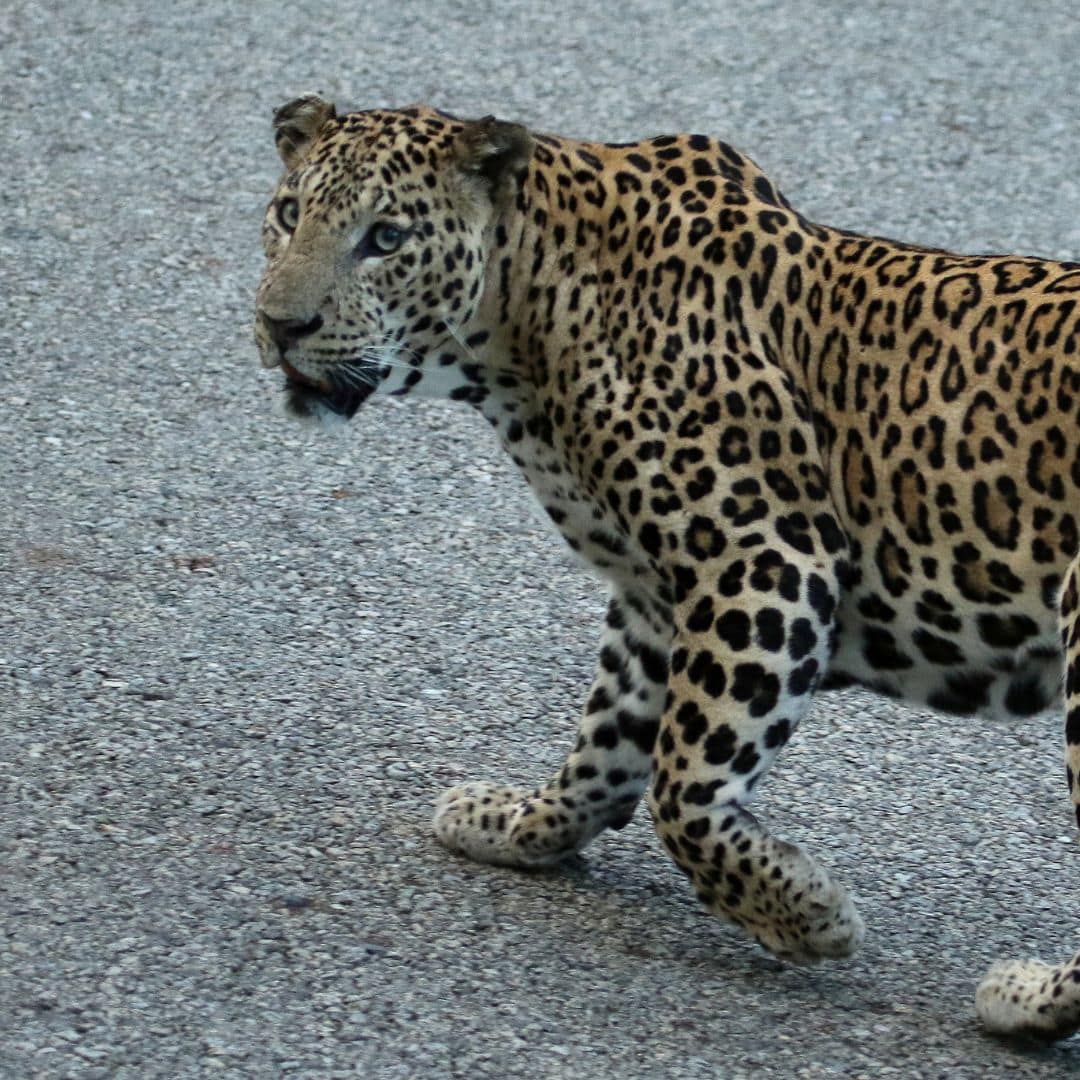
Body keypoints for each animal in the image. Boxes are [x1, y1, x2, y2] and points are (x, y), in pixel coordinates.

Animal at [254, 94, 1080, 1041]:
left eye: (385, 238)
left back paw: (1024, 1001)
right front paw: (513, 825)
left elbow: (680, 788)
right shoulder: (657, 599)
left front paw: (807, 913)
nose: (280, 325)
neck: (523, 330)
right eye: (289, 215)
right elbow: (606, 749)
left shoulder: (762, 559)